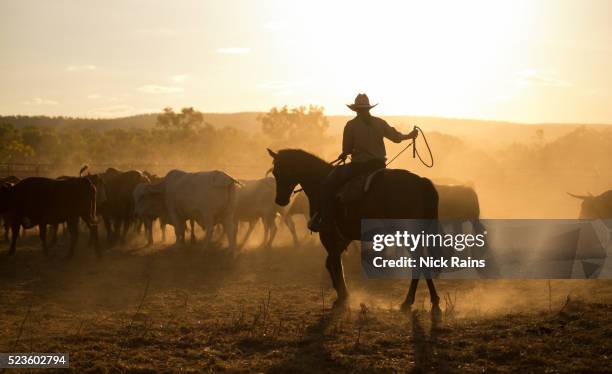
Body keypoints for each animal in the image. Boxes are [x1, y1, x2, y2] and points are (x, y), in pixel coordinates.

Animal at [268, 148, 440, 312]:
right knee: (423, 261)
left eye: (281, 171)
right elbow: (330, 262)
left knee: (418, 261)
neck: (320, 181)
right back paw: (434, 301)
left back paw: (408, 301)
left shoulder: (328, 234)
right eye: (274, 172)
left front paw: (343, 297)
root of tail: (421, 182)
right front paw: (341, 294)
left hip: (407, 234)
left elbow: (335, 263)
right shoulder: (344, 237)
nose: (280, 200)